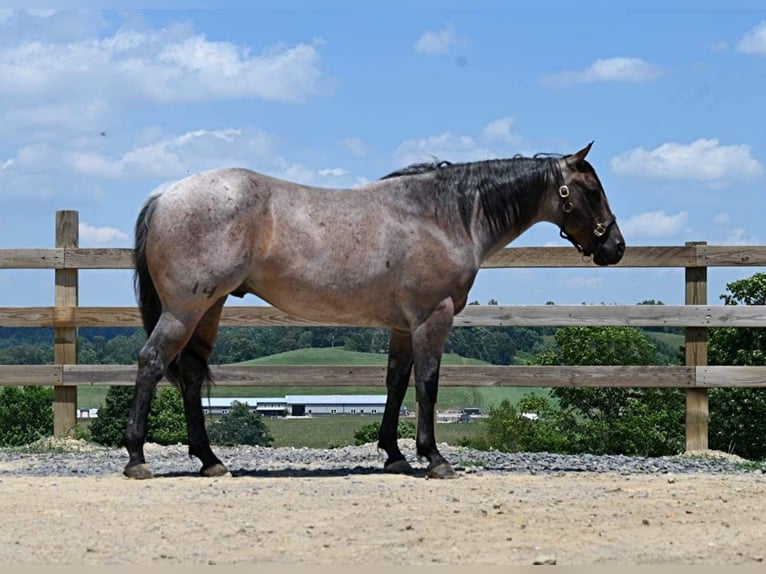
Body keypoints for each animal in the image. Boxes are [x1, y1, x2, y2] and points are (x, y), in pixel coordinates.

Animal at [124, 141, 624, 482]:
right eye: (592, 190)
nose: (615, 248)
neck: (444, 216)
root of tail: (165, 196)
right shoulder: (433, 317)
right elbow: (428, 385)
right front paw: (434, 458)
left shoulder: (402, 327)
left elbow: (396, 384)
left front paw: (395, 455)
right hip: (184, 309)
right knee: (151, 363)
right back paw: (136, 458)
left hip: (208, 308)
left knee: (190, 374)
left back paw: (210, 461)